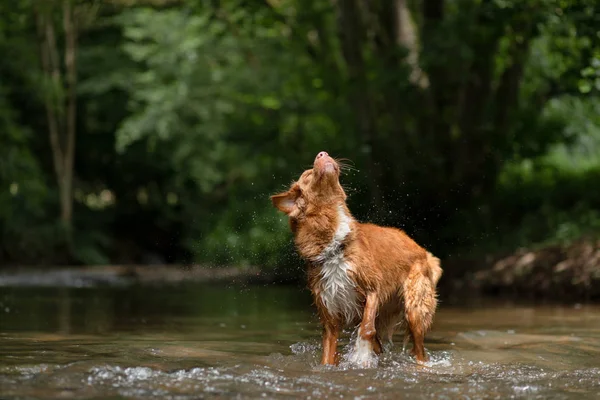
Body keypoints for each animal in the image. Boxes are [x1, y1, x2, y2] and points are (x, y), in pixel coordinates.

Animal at [270, 152, 440, 368]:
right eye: (308, 175)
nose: (323, 153)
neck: (334, 244)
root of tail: (423, 251)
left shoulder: (373, 289)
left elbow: (366, 329)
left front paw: (361, 355)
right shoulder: (330, 316)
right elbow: (328, 355)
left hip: (414, 310)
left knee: (420, 351)